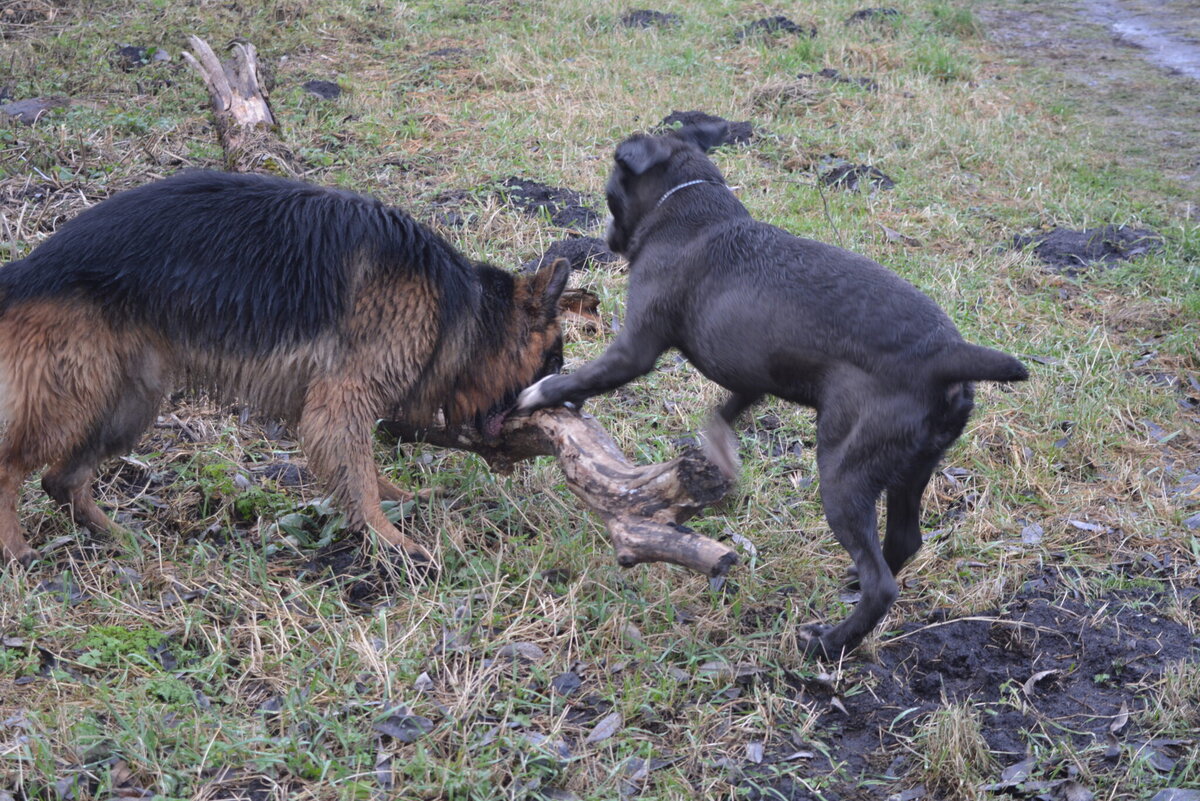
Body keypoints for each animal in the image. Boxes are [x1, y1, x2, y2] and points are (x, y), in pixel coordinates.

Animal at [0, 170, 568, 568]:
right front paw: (390, 539)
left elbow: (363, 471)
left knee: (60, 480)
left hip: (124, 405)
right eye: (555, 361)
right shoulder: (342, 398)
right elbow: (358, 474)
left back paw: (117, 535)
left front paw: (397, 502)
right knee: (12, 467)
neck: (459, 303)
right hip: (74, 401)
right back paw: (16, 549)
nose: (568, 408)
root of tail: (25, 270)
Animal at [520, 123, 1027, 657]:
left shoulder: (635, 347)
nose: (608, 239)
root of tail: (942, 356)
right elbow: (724, 413)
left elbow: (590, 374)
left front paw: (541, 393)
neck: (691, 210)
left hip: (845, 471)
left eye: (610, 193)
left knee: (882, 585)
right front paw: (718, 451)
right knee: (903, 542)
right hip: (912, 468)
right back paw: (850, 588)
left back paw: (828, 643)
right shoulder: (749, 377)